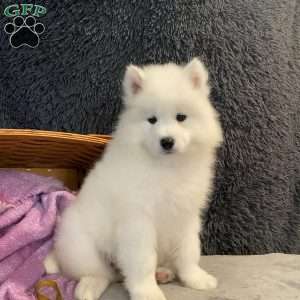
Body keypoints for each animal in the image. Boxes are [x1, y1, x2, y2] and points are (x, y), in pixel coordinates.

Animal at [44, 58, 223, 300]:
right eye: (152, 120)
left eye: (181, 117)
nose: (167, 141)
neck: (166, 168)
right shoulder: (138, 222)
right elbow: (142, 260)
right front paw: (147, 292)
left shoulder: (185, 217)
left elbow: (189, 251)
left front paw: (195, 278)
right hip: (84, 248)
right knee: (101, 273)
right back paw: (88, 288)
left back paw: (163, 273)